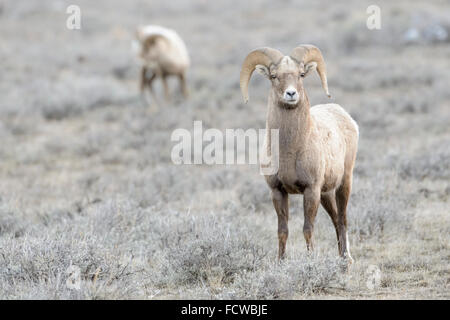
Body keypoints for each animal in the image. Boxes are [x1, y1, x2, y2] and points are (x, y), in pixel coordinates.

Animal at [241, 45, 360, 262]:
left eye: (301, 74)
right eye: (274, 76)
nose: (291, 93)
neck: (290, 151)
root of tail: (345, 116)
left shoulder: (310, 190)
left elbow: (307, 229)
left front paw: (311, 260)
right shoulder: (278, 191)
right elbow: (283, 230)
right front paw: (280, 261)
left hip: (344, 183)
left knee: (342, 219)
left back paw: (346, 260)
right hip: (326, 194)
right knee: (335, 219)